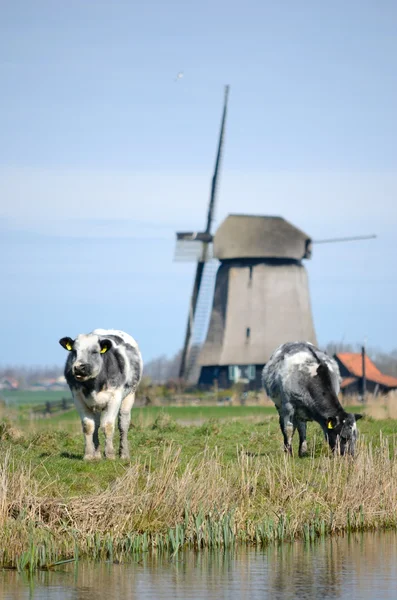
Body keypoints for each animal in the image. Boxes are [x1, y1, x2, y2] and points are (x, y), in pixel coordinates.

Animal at [58, 330, 142, 462]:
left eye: (94, 351)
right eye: (74, 351)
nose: (79, 367)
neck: (93, 385)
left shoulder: (115, 397)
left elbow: (108, 425)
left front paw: (110, 454)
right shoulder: (78, 398)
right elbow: (88, 426)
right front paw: (88, 455)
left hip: (130, 395)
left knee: (123, 423)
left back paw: (124, 454)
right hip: (95, 405)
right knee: (96, 424)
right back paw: (96, 454)